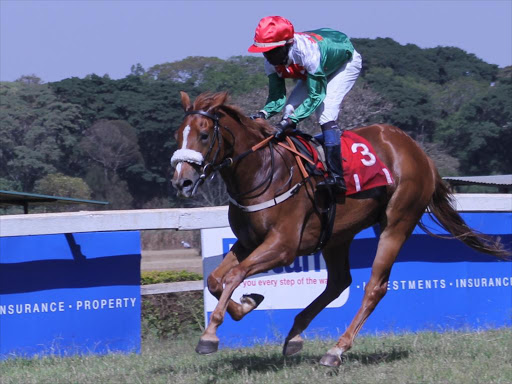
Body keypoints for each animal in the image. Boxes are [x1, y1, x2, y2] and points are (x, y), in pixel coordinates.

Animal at [169, 91, 508, 368]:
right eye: (177, 135)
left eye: (203, 135)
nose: (181, 181)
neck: (263, 171)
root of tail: (418, 152)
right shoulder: (248, 242)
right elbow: (216, 280)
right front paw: (247, 304)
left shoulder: (283, 246)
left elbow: (234, 276)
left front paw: (210, 335)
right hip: (336, 235)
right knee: (339, 282)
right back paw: (296, 334)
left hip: (397, 222)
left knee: (374, 287)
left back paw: (336, 350)